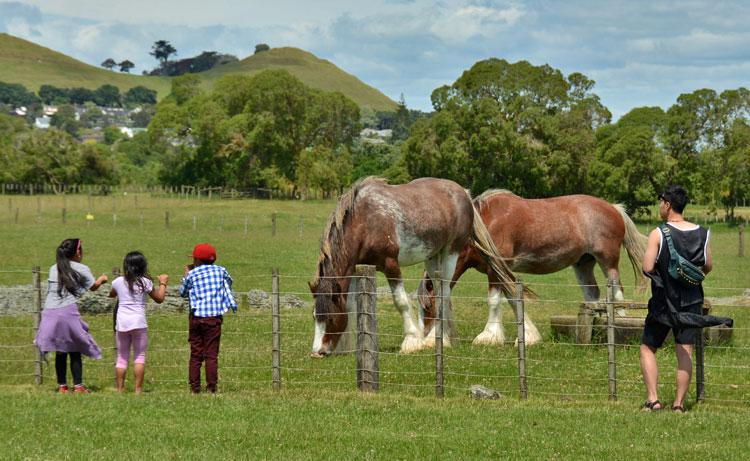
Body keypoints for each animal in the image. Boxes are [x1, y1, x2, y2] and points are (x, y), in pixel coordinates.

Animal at [308, 177, 524, 356]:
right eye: (315, 317)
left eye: (330, 318)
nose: (318, 352)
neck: (365, 221)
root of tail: (464, 193)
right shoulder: (354, 270)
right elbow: (351, 305)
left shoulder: (391, 265)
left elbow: (401, 302)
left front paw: (412, 341)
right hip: (433, 257)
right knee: (439, 294)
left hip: (451, 253)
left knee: (443, 294)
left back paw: (439, 338)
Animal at [420, 190, 648, 344]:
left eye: (427, 307)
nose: (426, 337)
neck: (486, 225)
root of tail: (614, 208)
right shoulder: (503, 273)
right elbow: (513, 300)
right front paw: (528, 335)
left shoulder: (495, 270)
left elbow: (494, 301)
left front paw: (489, 336)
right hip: (583, 265)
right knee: (592, 295)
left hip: (608, 261)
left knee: (617, 293)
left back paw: (618, 323)